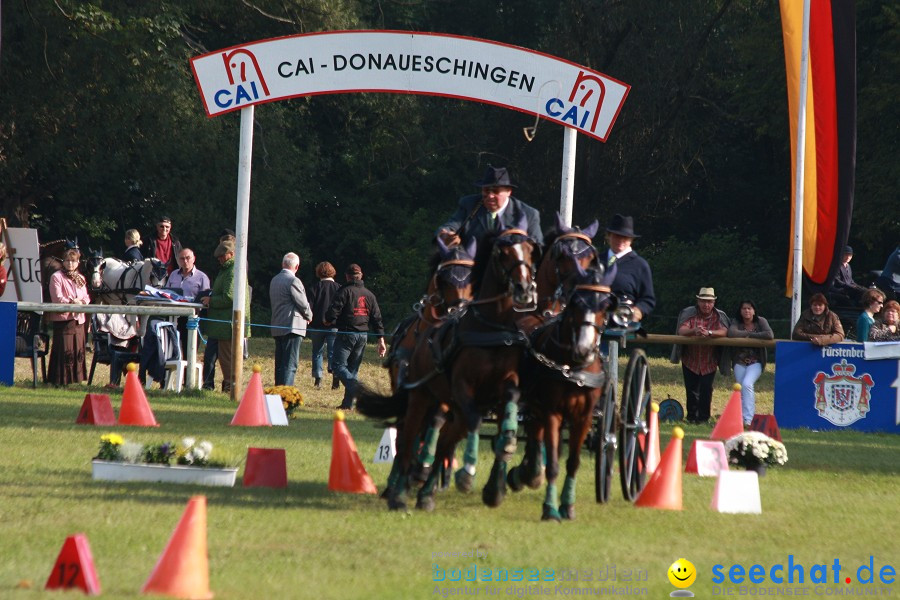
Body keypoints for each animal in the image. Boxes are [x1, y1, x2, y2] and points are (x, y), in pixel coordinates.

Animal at [358, 220, 536, 510]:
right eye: (444, 278)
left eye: (532, 250)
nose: (523, 288)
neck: (490, 328)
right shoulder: (455, 387)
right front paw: (456, 474)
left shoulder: (502, 384)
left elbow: (503, 406)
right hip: (420, 396)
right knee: (409, 434)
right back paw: (400, 488)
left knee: (443, 436)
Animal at [506, 262, 620, 520]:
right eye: (576, 302)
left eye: (606, 306)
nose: (584, 349)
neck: (572, 368)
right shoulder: (551, 413)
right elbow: (554, 464)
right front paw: (550, 509)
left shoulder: (583, 418)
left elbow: (573, 462)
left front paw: (567, 506)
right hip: (535, 408)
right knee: (536, 440)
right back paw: (525, 474)